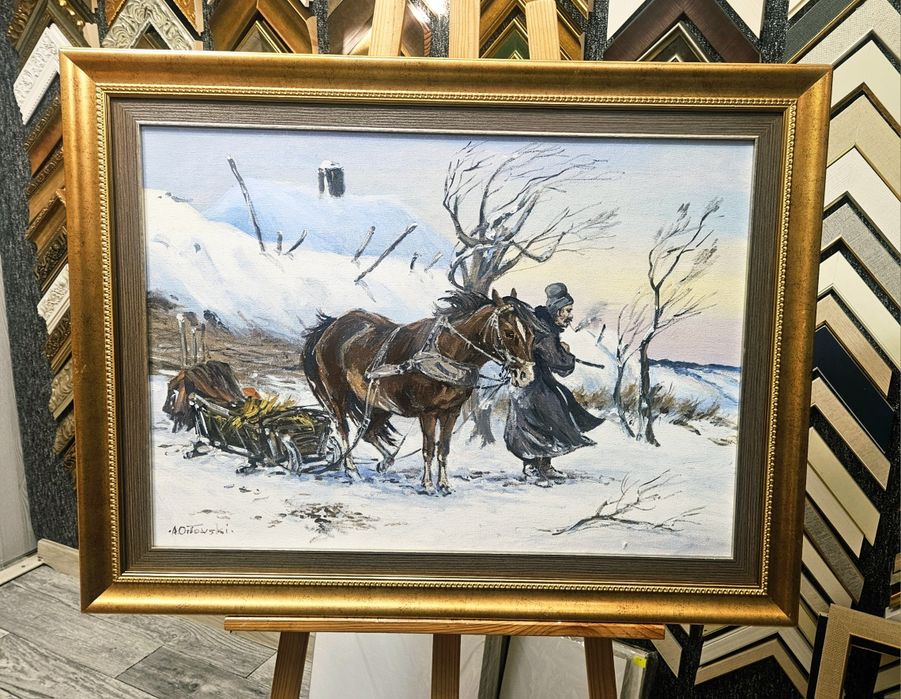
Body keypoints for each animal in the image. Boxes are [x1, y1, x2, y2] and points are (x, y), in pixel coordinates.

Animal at [301, 289, 536, 493]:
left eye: (531, 333)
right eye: (509, 333)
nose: (526, 375)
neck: (446, 352)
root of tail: (332, 325)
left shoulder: (451, 412)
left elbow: (443, 450)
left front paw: (445, 484)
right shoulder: (428, 413)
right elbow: (429, 449)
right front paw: (428, 484)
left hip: (379, 401)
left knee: (369, 432)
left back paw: (386, 461)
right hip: (337, 395)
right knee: (344, 429)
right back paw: (351, 469)